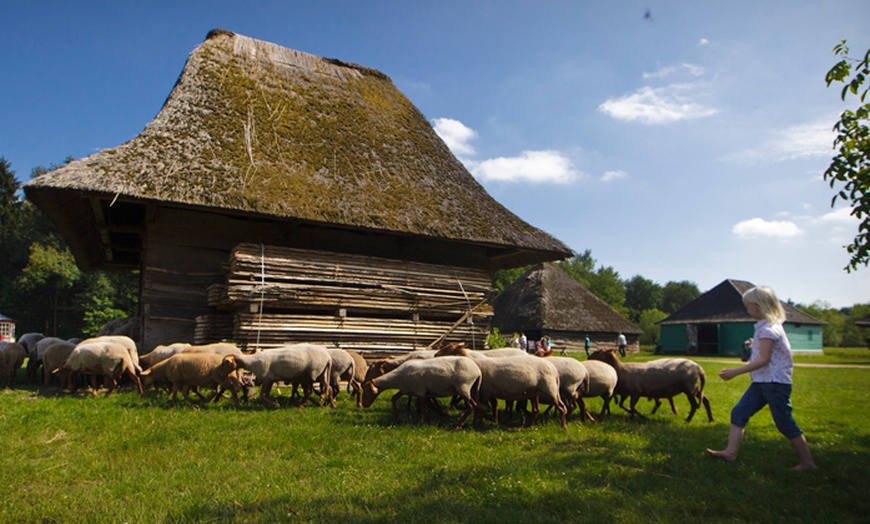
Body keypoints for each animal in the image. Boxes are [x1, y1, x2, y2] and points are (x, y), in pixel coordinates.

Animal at [584, 348, 716, 422]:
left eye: (598, 352)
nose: (588, 356)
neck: (620, 369)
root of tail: (700, 370)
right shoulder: (629, 393)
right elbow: (628, 406)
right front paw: (633, 416)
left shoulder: (636, 392)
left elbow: (632, 406)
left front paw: (638, 417)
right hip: (695, 387)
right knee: (705, 400)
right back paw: (710, 419)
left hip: (690, 387)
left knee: (694, 405)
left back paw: (688, 420)